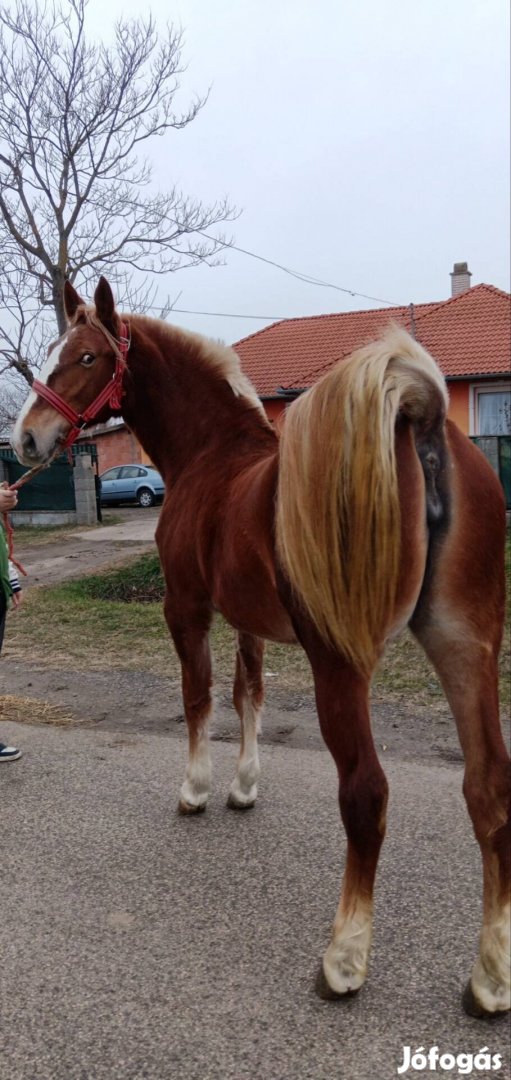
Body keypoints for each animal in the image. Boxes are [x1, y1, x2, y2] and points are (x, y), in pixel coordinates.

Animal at [9, 276, 507, 1010]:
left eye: (88, 356)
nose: (26, 438)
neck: (211, 454)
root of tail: (417, 425)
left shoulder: (186, 608)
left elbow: (198, 697)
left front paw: (195, 790)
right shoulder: (246, 617)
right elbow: (250, 693)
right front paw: (243, 786)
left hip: (343, 664)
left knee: (366, 793)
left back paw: (344, 960)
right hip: (465, 646)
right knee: (488, 786)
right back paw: (490, 978)